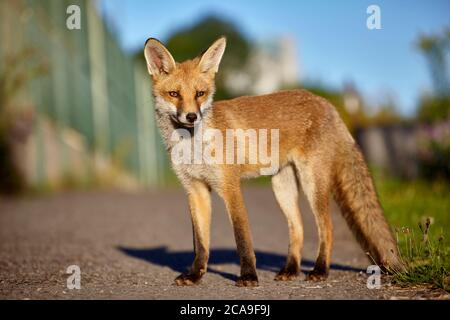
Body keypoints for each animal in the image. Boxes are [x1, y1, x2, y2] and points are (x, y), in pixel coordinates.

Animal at [145, 36, 404, 286]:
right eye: (174, 94)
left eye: (200, 93)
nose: (192, 116)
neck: (193, 146)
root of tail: (326, 103)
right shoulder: (195, 189)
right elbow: (200, 244)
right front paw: (195, 275)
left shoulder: (230, 187)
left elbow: (242, 238)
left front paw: (249, 276)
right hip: (282, 186)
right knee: (298, 228)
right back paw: (291, 270)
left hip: (312, 182)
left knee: (326, 228)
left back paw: (320, 270)